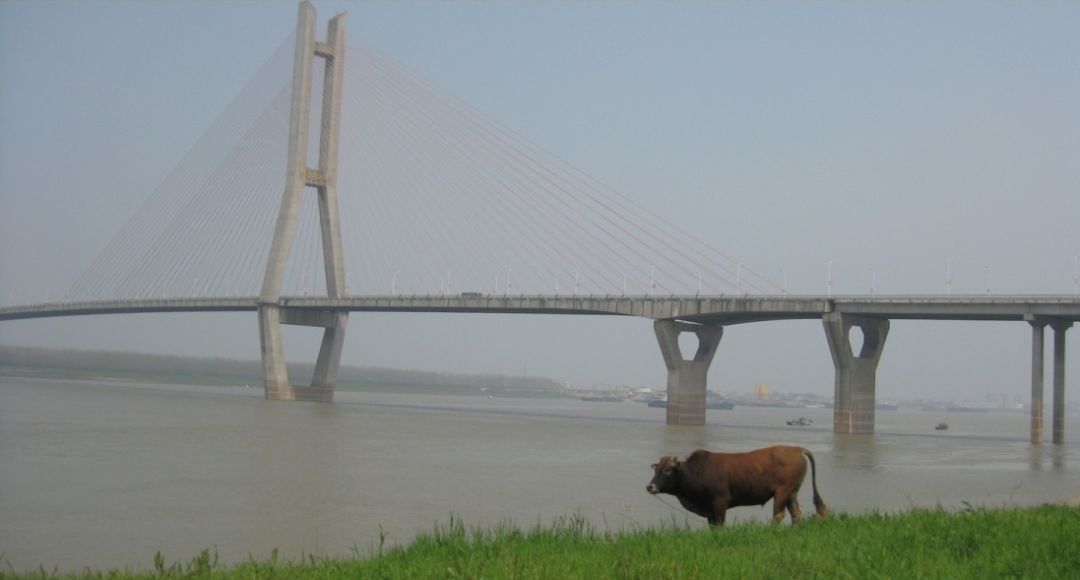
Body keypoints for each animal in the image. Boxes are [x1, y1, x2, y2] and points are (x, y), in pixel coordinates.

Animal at [648, 442, 825, 524]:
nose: (650, 486)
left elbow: (719, 524)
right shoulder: (710, 511)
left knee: (779, 514)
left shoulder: (720, 503)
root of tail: (796, 449)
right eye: (656, 470)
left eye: (667, 470)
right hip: (792, 492)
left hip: (782, 492)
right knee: (796, 513)